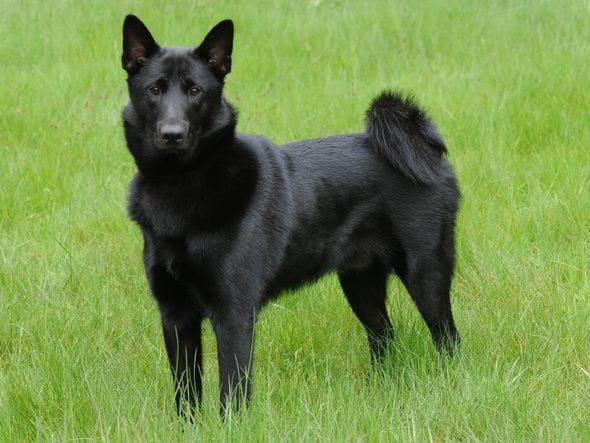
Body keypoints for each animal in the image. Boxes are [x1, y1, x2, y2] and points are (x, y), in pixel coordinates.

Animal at [121, 13, 462, 416]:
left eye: (195, 91)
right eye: (155, 90)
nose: (172, 134)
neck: (181, 185)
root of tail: (428, 152)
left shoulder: (234, 314)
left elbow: (232, 392)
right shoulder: (175, 315)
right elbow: (186, 395)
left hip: (426, 274)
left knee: (448, 339)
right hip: (360, 282)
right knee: (384, 336)